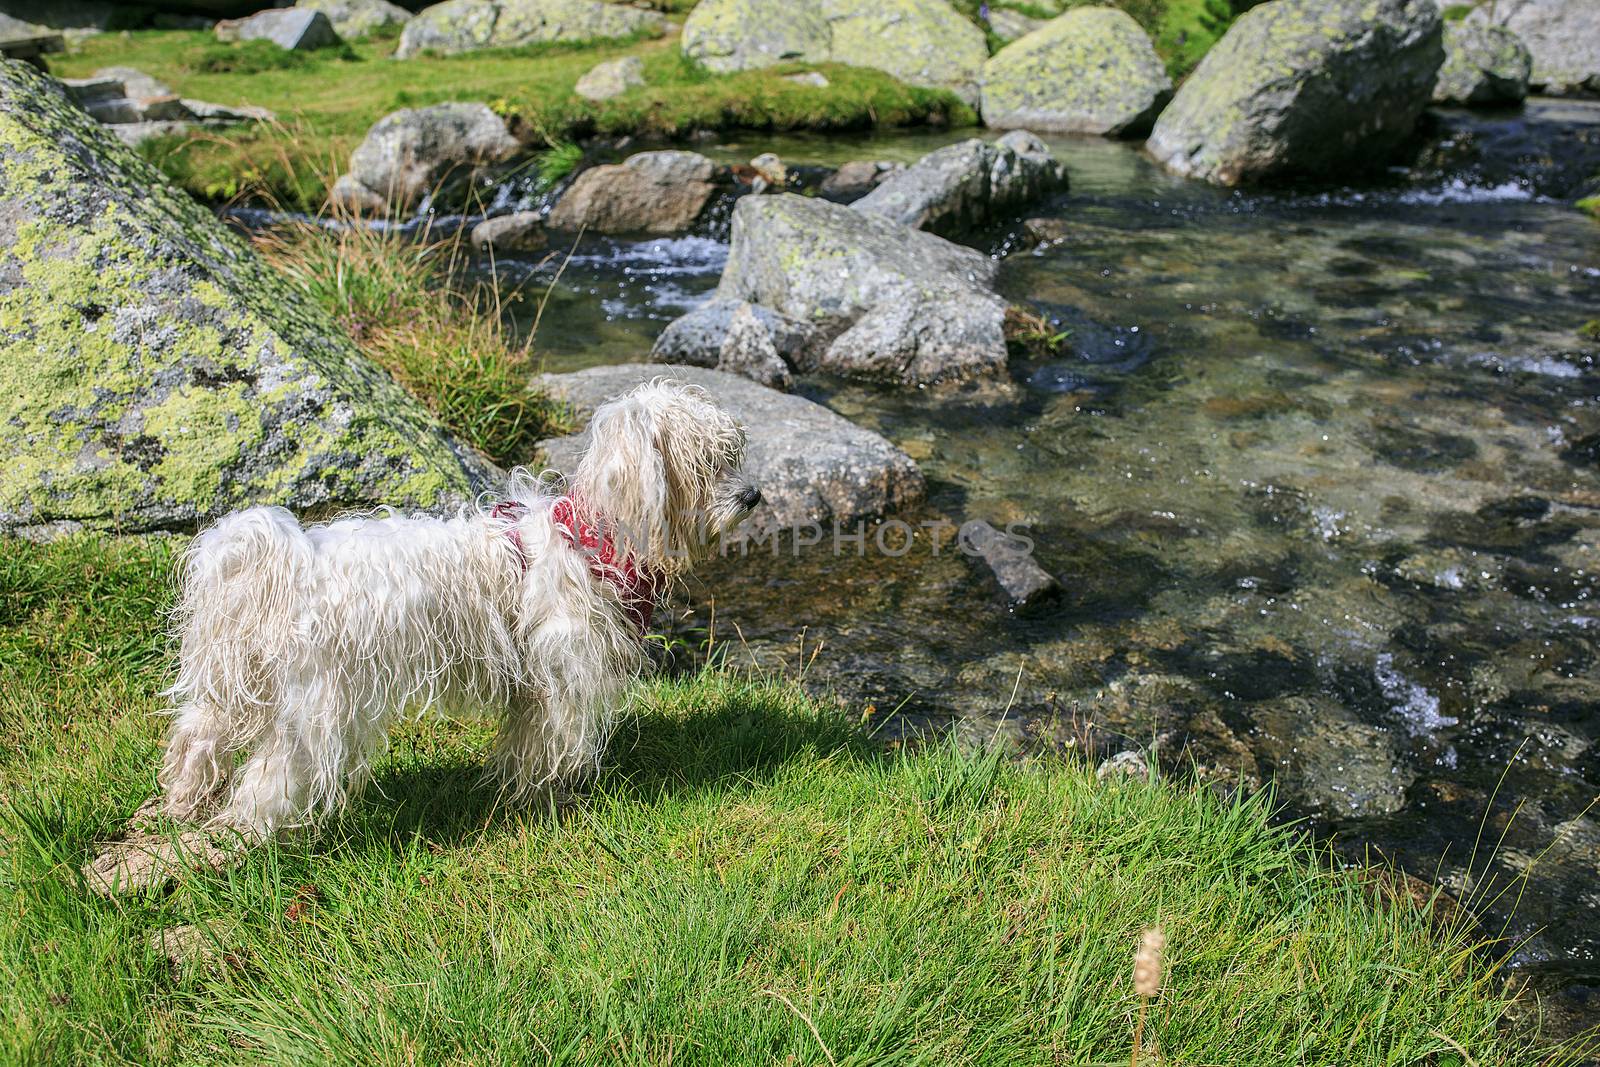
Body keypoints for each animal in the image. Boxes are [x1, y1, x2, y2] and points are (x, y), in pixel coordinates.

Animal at [159, 379, 758, 838]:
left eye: (731, 456)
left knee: (198, 735)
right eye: (705, 464)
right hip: (316, 708)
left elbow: (525, 744)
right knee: (271, 775)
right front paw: (552, 804)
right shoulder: (565, 678)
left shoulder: (533, 688)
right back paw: (247, 834)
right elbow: (553, 747)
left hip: (235, 682)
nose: (752, 497)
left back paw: (182, 802)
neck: (593, 541)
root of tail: (288, 566)